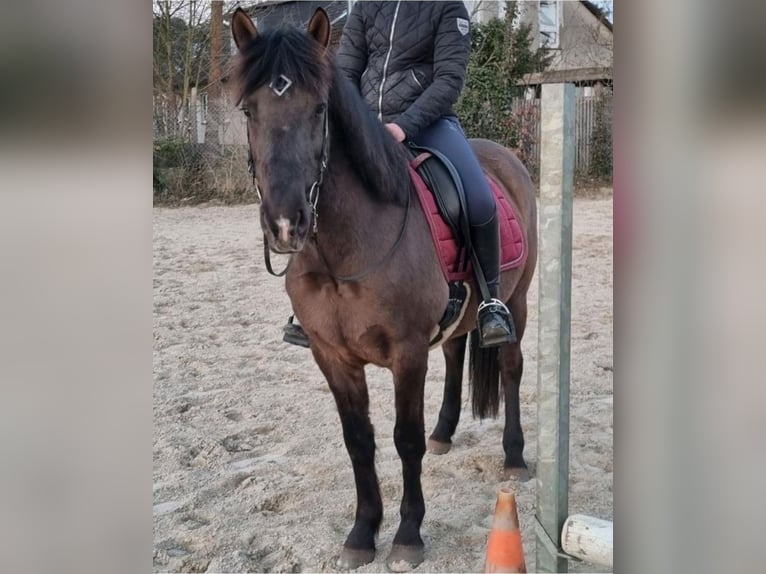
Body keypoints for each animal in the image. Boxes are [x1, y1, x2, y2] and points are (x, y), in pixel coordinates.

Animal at [230, 7, 538, 571]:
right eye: (248, 109)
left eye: (320, 108)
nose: (286, 224)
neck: (345, 251)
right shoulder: (332, 356)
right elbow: (359, 441)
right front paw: (361, 532)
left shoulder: (407, 352)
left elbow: (404, 440)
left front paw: (408, 533)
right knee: (457, 353)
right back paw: (445, 433)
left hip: (517, 303)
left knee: (510, 369)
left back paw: (514, 456)